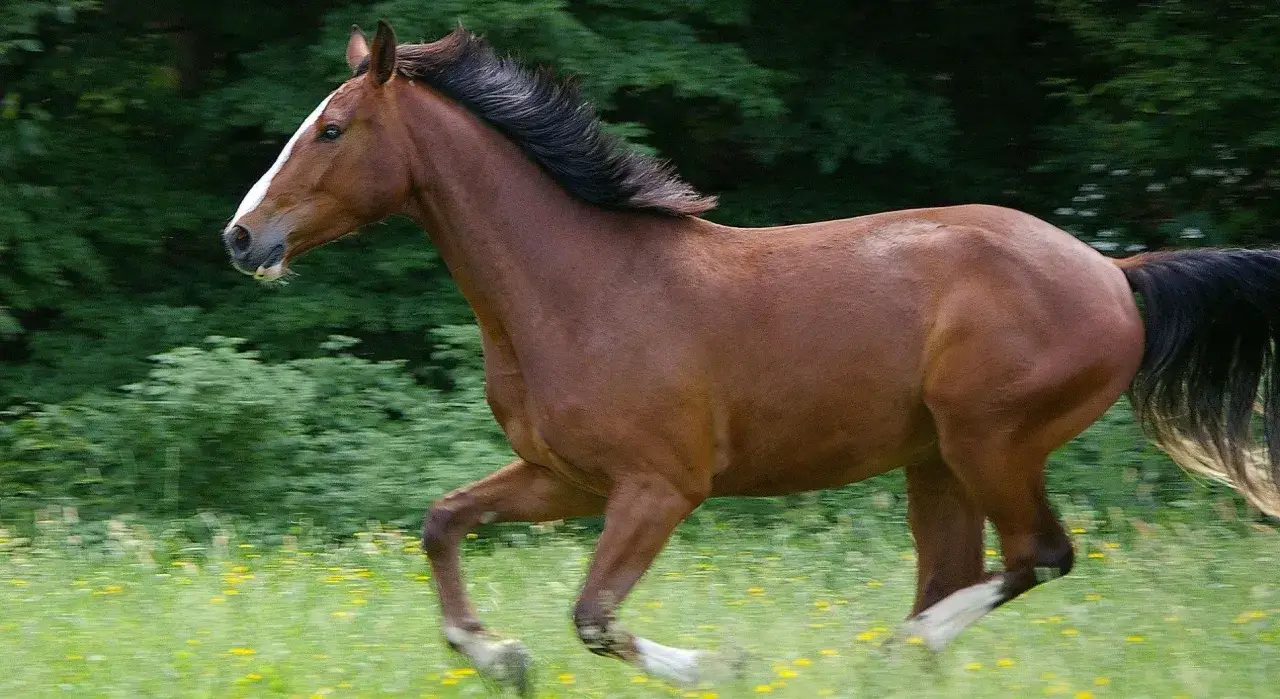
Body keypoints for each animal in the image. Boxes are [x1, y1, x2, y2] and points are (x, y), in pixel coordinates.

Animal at [221, 20, 1280, 694]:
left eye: (332, 128)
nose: (241, 238)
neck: (579, 287)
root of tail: (1113, 272)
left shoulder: (660, 486)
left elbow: (595, 616)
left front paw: (720, 665)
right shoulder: (564, 477)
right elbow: (443, 523)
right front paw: (500, 657)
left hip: (992, 442)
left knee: (1037, 557)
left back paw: (881, 652)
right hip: (935, 461)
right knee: (965, 574)